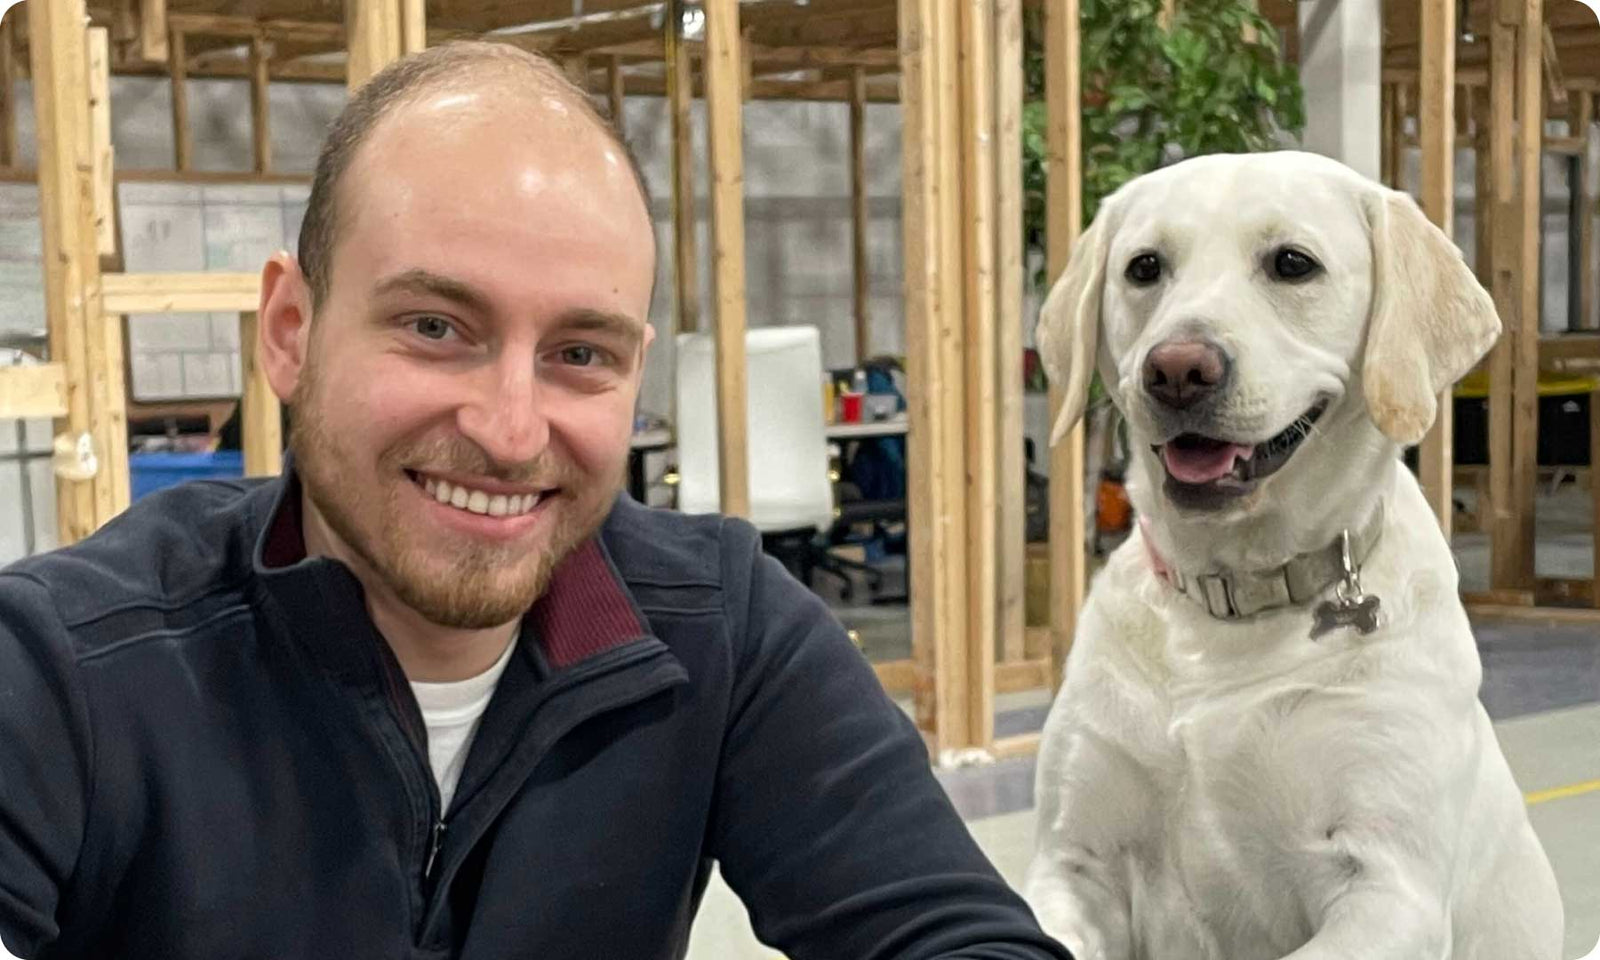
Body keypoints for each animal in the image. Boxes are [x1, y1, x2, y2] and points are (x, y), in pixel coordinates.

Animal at [1024, 153, 1561, 953]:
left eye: (1291, 264)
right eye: (1144, 267)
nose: (1177, 368)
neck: (1237, 588)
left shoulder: (1386, 889)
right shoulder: (1073, 864)